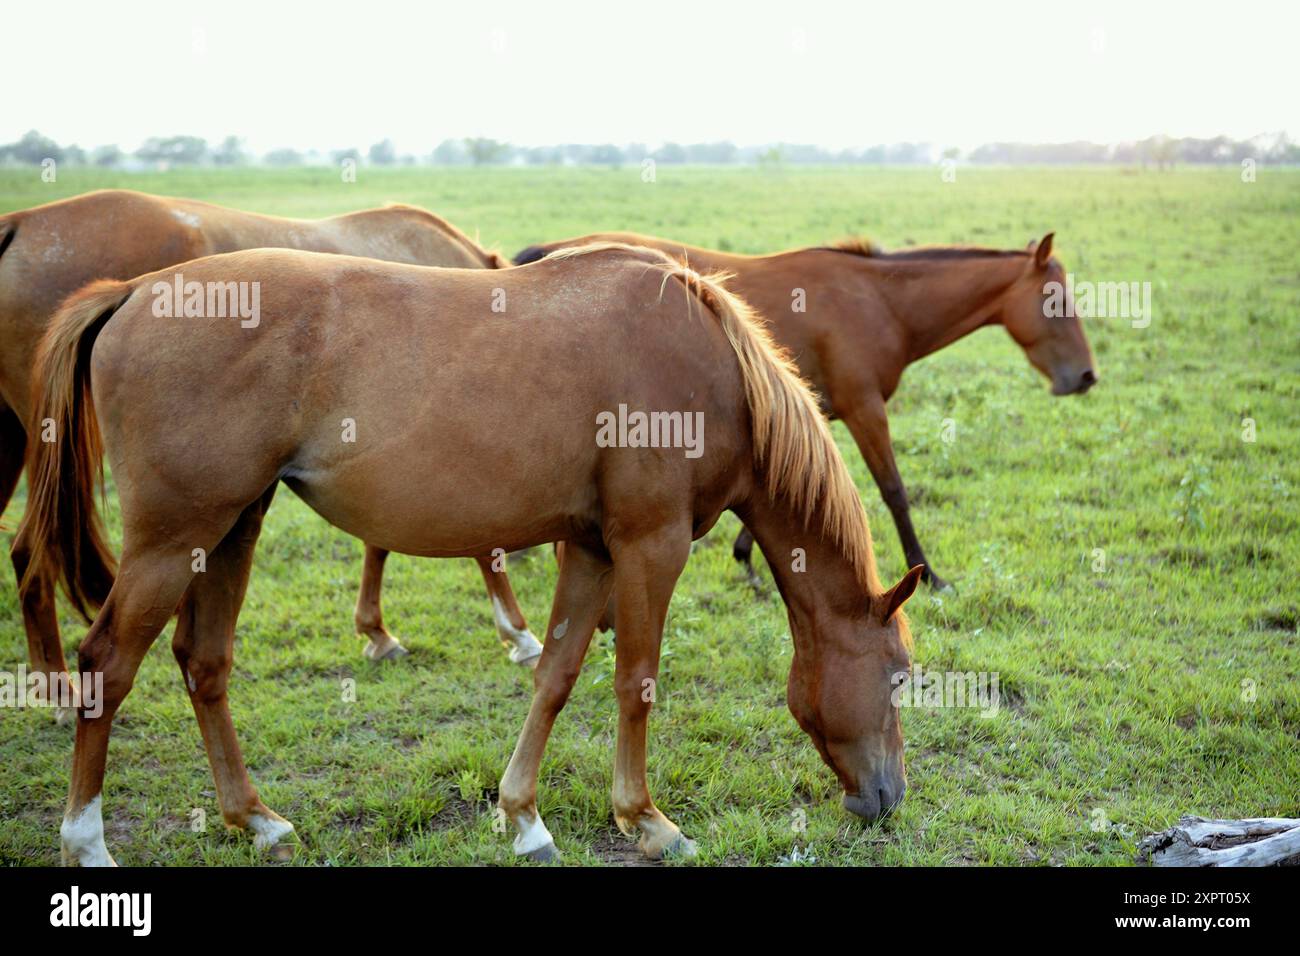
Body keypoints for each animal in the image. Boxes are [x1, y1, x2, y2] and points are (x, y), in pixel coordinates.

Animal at [0, 189, 541, 719]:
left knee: (26, 550)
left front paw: (375, 630)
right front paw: (517, 632)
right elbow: (470, 545)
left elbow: (379, 540)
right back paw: (61, 690)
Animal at [23, 242, 922, 865]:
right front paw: (646, 820)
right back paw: (87, 842)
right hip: (175, 540)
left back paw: (257, 819)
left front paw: (523, 816)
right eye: (899, 675)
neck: (715, 369)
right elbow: (634, 683)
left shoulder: (591, 550)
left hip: (231, 527)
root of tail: (133, 291)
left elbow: (557, 676)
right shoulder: (649, 547)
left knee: (203, 665)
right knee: (106, 665)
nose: (888, 799)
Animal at [514, 232, 1097, 591]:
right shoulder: (864, 409)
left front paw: (747, 560)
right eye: (1056, 303)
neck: (879, 302)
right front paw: (929, 573)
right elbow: (894, 491)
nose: (1086, 377)